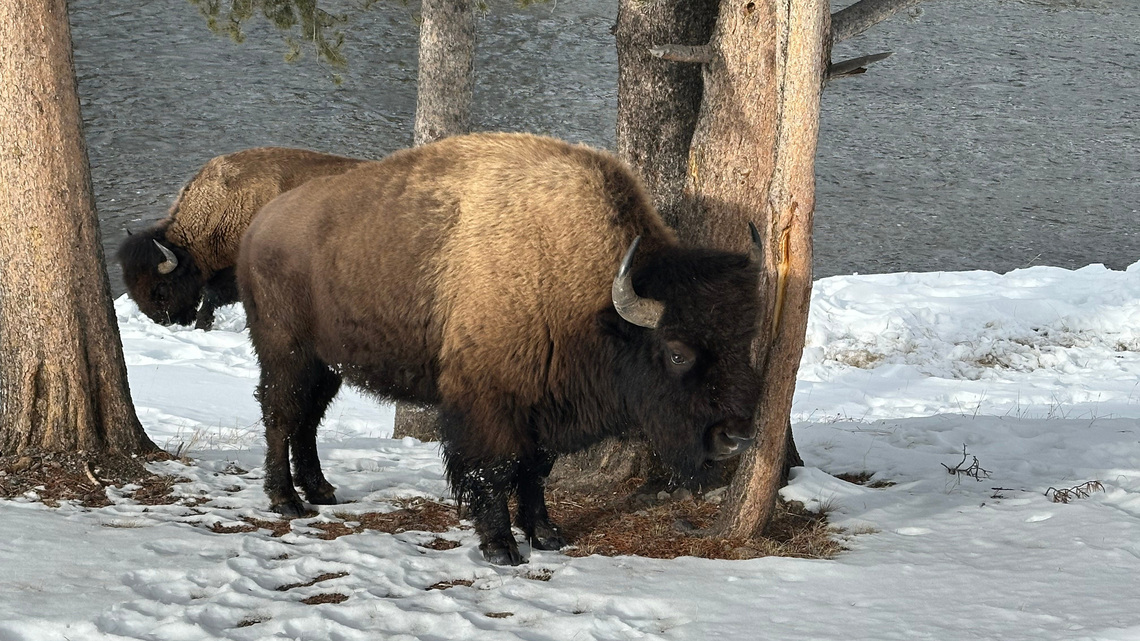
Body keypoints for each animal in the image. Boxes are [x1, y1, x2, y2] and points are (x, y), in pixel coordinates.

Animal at [238, 133, 764, 565]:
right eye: (676, 352)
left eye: (745, 340)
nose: (735, 437)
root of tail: (260, 224)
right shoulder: (488, 404)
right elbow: (494, 470)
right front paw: (500, 548)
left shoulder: (545, 410)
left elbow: (536, 472)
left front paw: (546, 535)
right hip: (286, 353)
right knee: (281, 416)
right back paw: (287, 501)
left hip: (327, 364)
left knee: (306, 421)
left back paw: (321, 491)